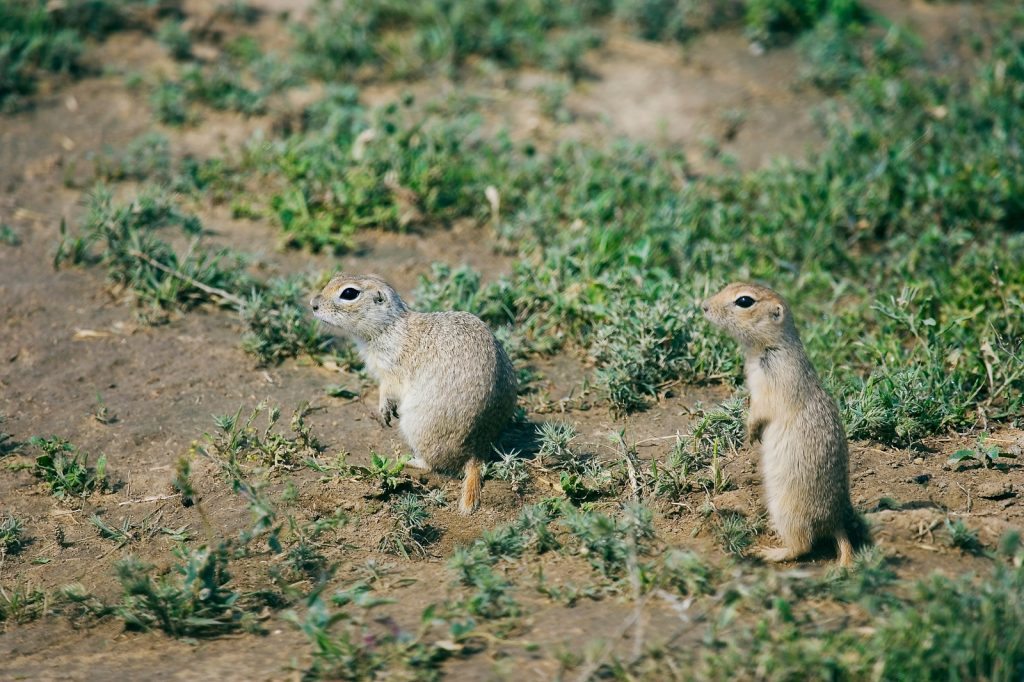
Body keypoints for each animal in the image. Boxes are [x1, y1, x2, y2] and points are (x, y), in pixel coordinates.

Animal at [309, 274, 520, 512]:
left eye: (349, 293)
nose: (313, 304)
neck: (390, 326)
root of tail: (477, 450)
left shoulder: (392, 369)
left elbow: (387, 389)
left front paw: (383, 409)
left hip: (416, 426)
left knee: (431, 465)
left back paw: (411, 461)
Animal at [704, 280, 864, 561]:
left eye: (744, 301)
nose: (703, 306)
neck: (764, 349)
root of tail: (834, 523)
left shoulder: (774, 383)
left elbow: (761, 410)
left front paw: (750, 432)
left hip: (787, 510)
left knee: (802, 546)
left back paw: (768, 552)